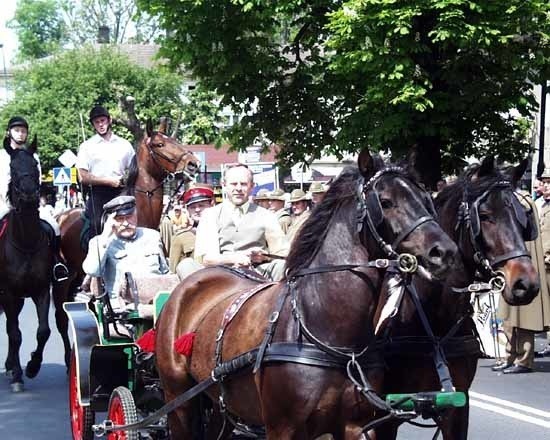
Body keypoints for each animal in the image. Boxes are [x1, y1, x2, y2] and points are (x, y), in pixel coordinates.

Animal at [51, 120, 202, 368]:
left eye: (175, 140)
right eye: (160, 144)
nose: (193, 163)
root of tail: (61, 216)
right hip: (63, 280)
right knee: (62, 318)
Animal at [153, 148, 460, 440]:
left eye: (426, 199)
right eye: (384, 202)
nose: (445, 252)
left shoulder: (357, 426)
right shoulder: (283, 428)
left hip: (222, 407)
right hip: (178, 401)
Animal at [378, 158, 540, 440]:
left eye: (523, 217)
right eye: (484, 216)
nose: (525, 284)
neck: (435, 328)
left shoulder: (458, 406)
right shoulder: (385, 415)